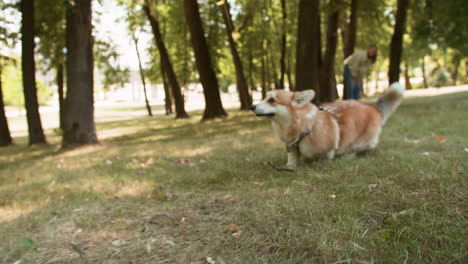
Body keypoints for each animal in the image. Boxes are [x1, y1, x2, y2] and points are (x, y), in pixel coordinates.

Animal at [250, 82, 404, 171]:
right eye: (265, 97)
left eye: (271, 100)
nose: (252, 106)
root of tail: (373, 107)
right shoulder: (291, 147)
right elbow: (292, 159)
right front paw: (289, 166)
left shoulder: (328, 151)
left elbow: (325, 156)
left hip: (363, 141)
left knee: (361, 148)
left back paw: (348, 155)